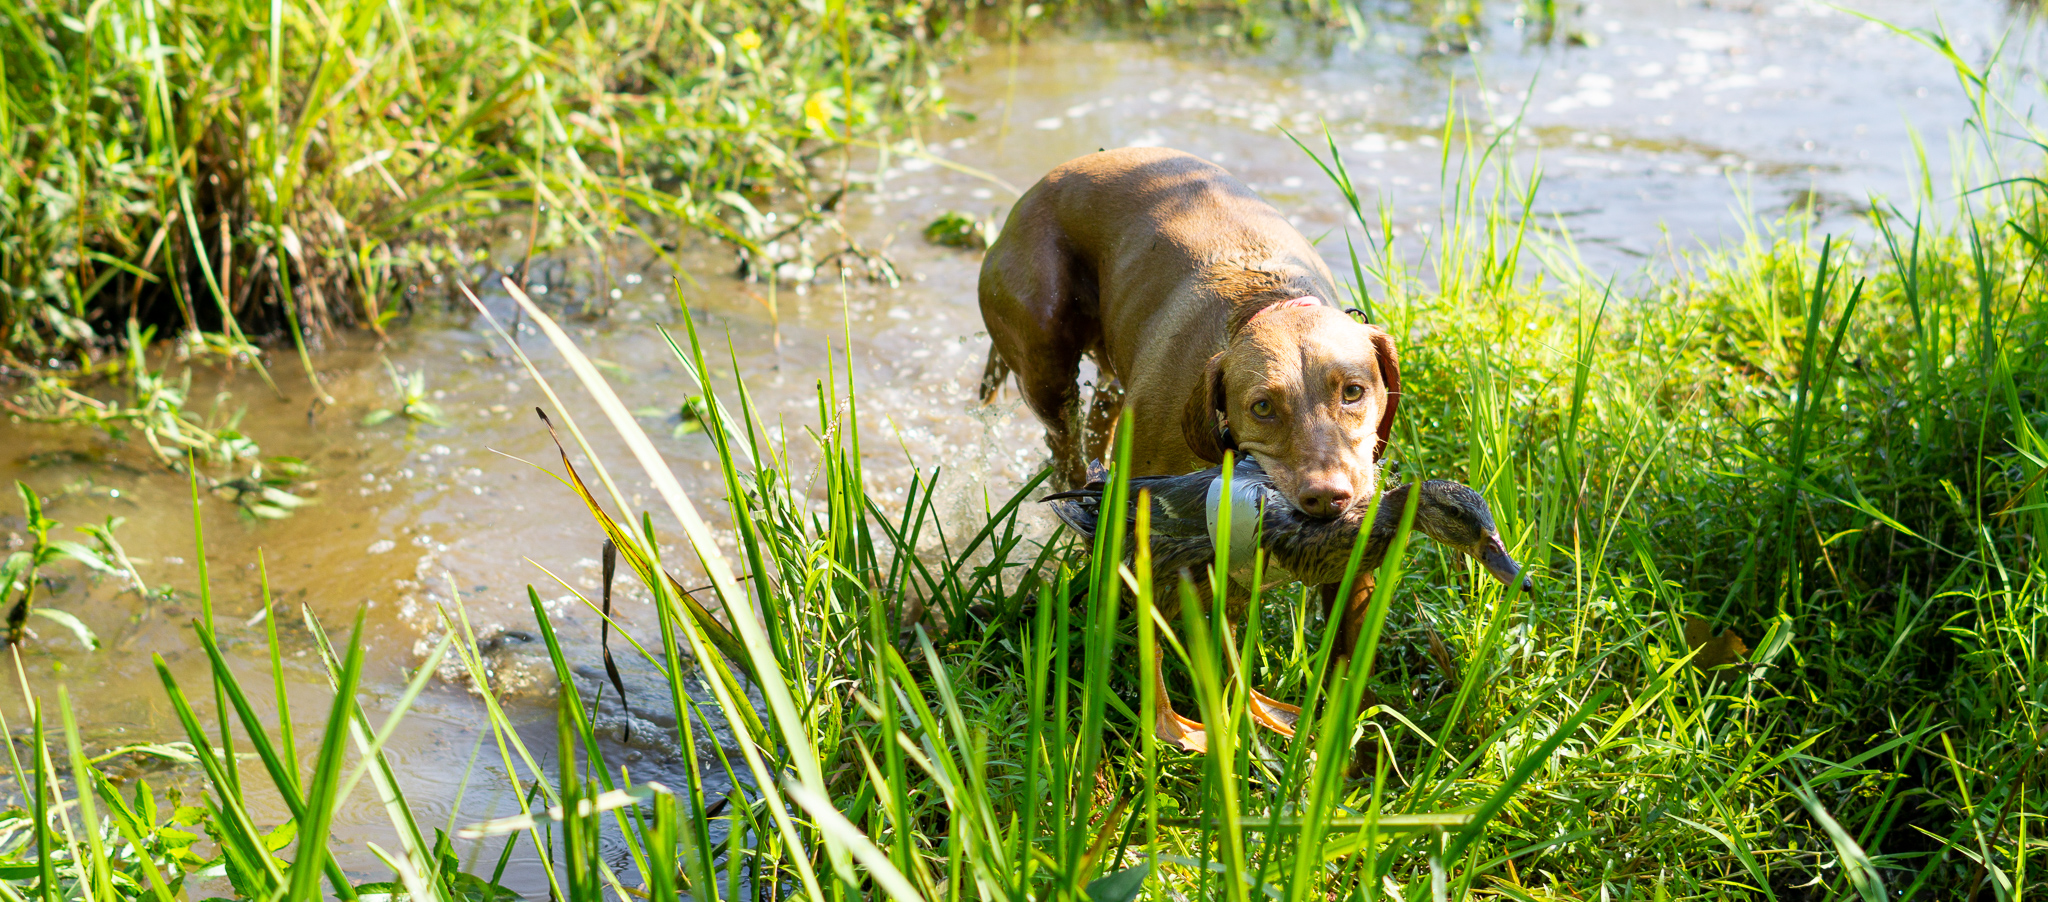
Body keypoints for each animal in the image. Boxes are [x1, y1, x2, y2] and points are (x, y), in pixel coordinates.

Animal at [970, 147, 1392, 750]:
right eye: (1263, 406)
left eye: (1353, 391)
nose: (1328, 498)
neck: (1266, 302)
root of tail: (1041, 186)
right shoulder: (1152, 545)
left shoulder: (1348, 565)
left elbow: (1336, 662)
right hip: (1047, 360)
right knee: (1063, 453)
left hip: (1109, 385)